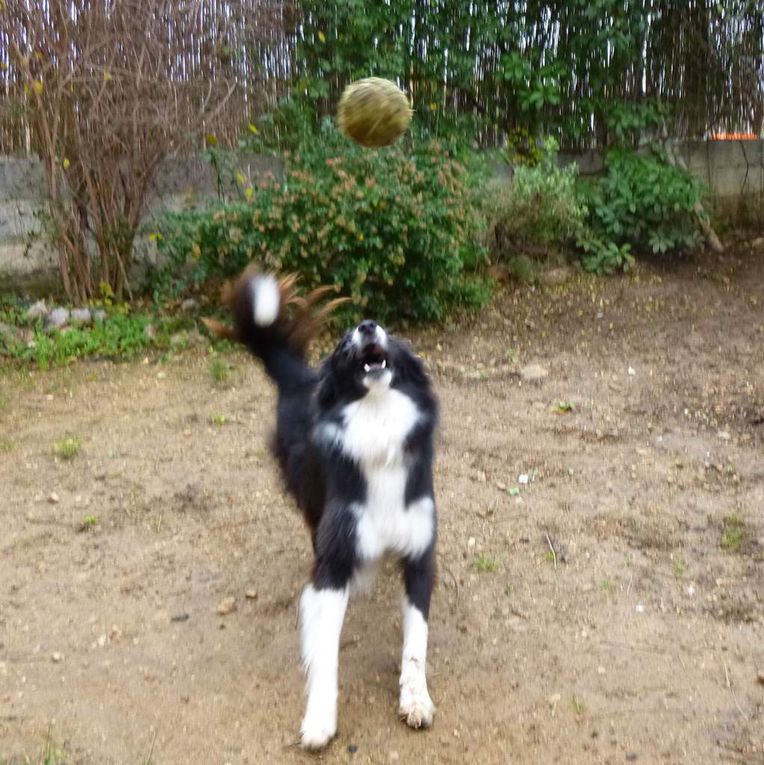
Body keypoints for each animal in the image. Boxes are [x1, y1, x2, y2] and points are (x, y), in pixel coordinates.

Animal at [212, 272, 438, 748]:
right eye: (342, 343)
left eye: (387, 330)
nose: (367, 325)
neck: (377, 422)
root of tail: (300, 375)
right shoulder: (334, 560)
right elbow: (325, 646)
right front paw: (319, 717)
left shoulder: (420, 552)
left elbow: (416, 641)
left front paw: (415, 699)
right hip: (309, 491)